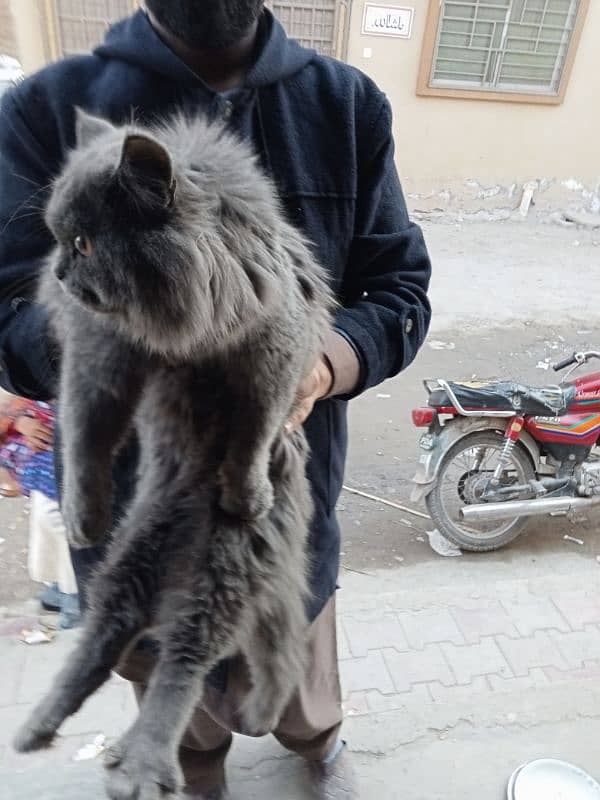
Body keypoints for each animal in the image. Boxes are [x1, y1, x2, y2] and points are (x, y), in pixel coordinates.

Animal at [12, 111, 332, 800]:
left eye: (85, 244)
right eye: (59, 240)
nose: (59, 276)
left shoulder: (272, 352)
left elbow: (253, 435)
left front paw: (246, 490)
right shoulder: (100, 357)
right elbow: (84, 436)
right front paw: (82, 515)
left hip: (219, 571)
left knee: (181, 669)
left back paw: (135, 764)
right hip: (130, 571)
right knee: (106, 646)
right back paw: (44, 729)